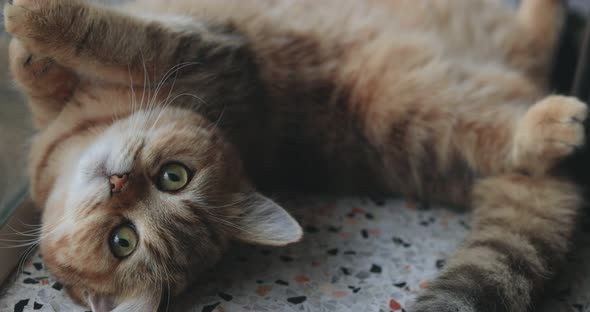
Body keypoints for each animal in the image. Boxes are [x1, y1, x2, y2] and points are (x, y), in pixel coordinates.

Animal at [3, 0, 588, 310]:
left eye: (174, 177)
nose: (119, 182)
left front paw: (32, 27)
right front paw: (32, 54)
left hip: (415, 107)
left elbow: (112, 35)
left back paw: (556, 114)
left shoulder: (215, 53)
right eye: (121, 241)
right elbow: (56, 79)